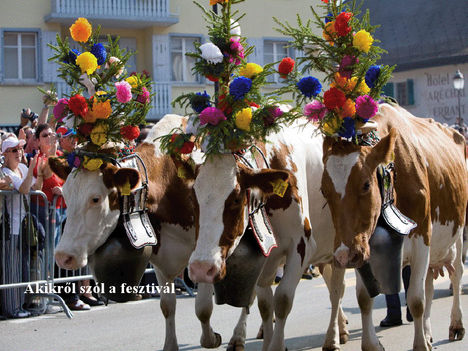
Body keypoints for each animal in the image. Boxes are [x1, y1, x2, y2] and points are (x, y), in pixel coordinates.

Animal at [50, 115, 249, 351]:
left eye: (96, 198)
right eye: (65, 194)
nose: (63, 256)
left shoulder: (207, 250)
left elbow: (202, 307)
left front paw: (211, 338)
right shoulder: (160, 255)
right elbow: (167, 306)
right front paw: (170, 345)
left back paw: (239, 337)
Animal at [188, 120, 350, 351]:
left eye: (236, 198)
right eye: (193, 196)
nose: (200, 268)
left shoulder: (302, 246)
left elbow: (282, 300)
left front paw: (276, 344)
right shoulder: (261, 255)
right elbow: (210, 306)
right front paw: (214, 337)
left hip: (340, 247)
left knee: (337, 289)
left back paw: (333, 338)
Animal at [322, 103, 468, 350]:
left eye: (366, 184)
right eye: (324, 190)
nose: (342, 256)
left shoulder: (422, 238)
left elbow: (415, 299)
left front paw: (419, 345)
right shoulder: (362, 247)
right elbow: (364, 299)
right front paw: (371, 344)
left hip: (458, 233)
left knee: (457, 275)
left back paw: (456, 325)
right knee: (429, 285)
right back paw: (428, 333)